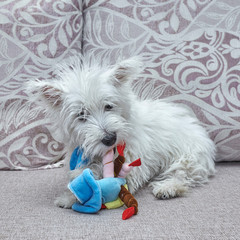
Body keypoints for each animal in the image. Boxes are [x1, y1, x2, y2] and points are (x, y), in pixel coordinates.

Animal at [27, 56, 217, 208]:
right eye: (81, 115)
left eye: (108, 106)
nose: (110, 138)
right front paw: (71, 193)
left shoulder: (134, 158)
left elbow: (114, 178)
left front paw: (75, 196)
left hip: (188, 157)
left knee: (183, 175)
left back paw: (168, 188)